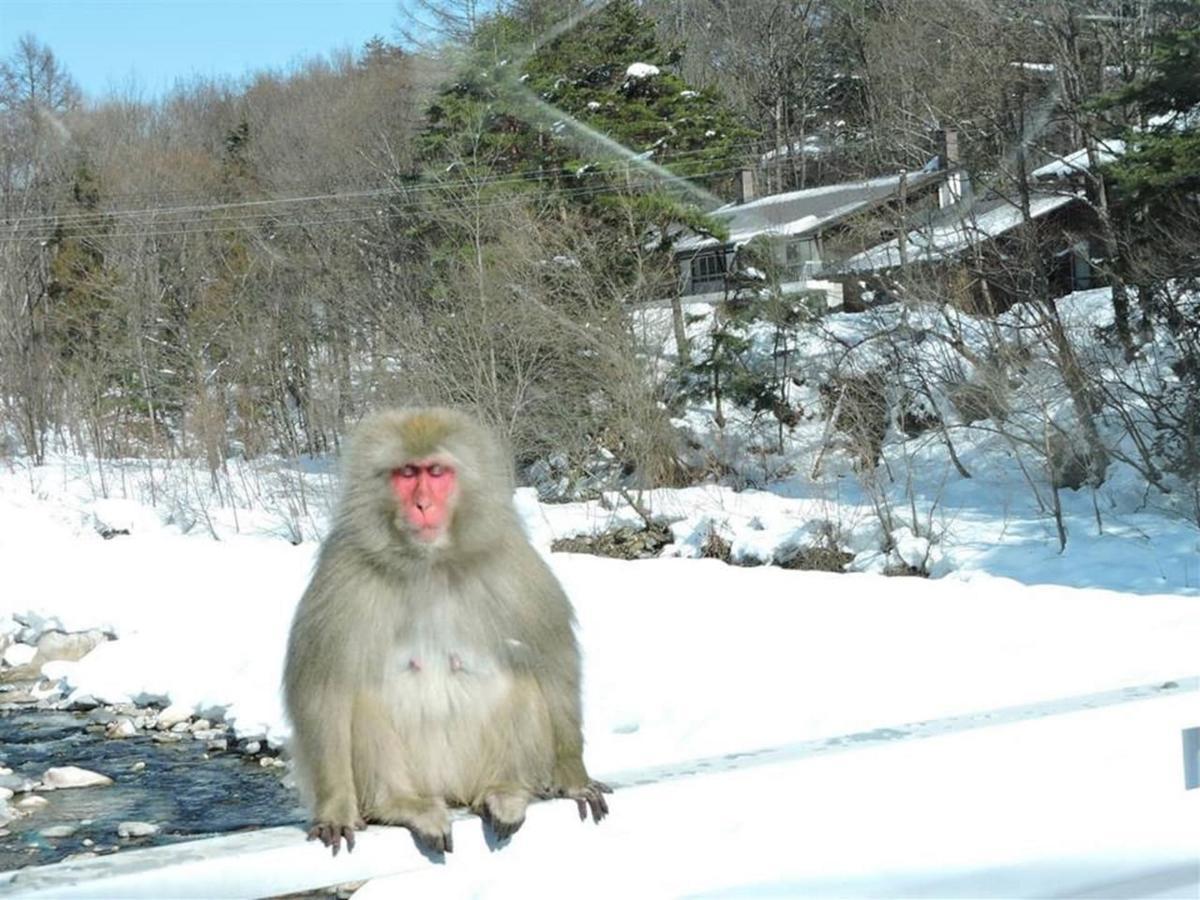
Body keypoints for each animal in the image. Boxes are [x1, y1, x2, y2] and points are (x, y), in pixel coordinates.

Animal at [280, 412, 609, 854]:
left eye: (436, 472)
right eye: (407, 473)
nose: (422, 504)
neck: (429, 562)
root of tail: (451, 791)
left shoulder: (513, 565)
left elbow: (554, 661)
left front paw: (574, 778)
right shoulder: (342, 576)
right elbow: (323, 690)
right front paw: (335, 809)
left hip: (472, 771)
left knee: (525, 683)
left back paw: (505, 790)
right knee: (360, 702)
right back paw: (401, 804)